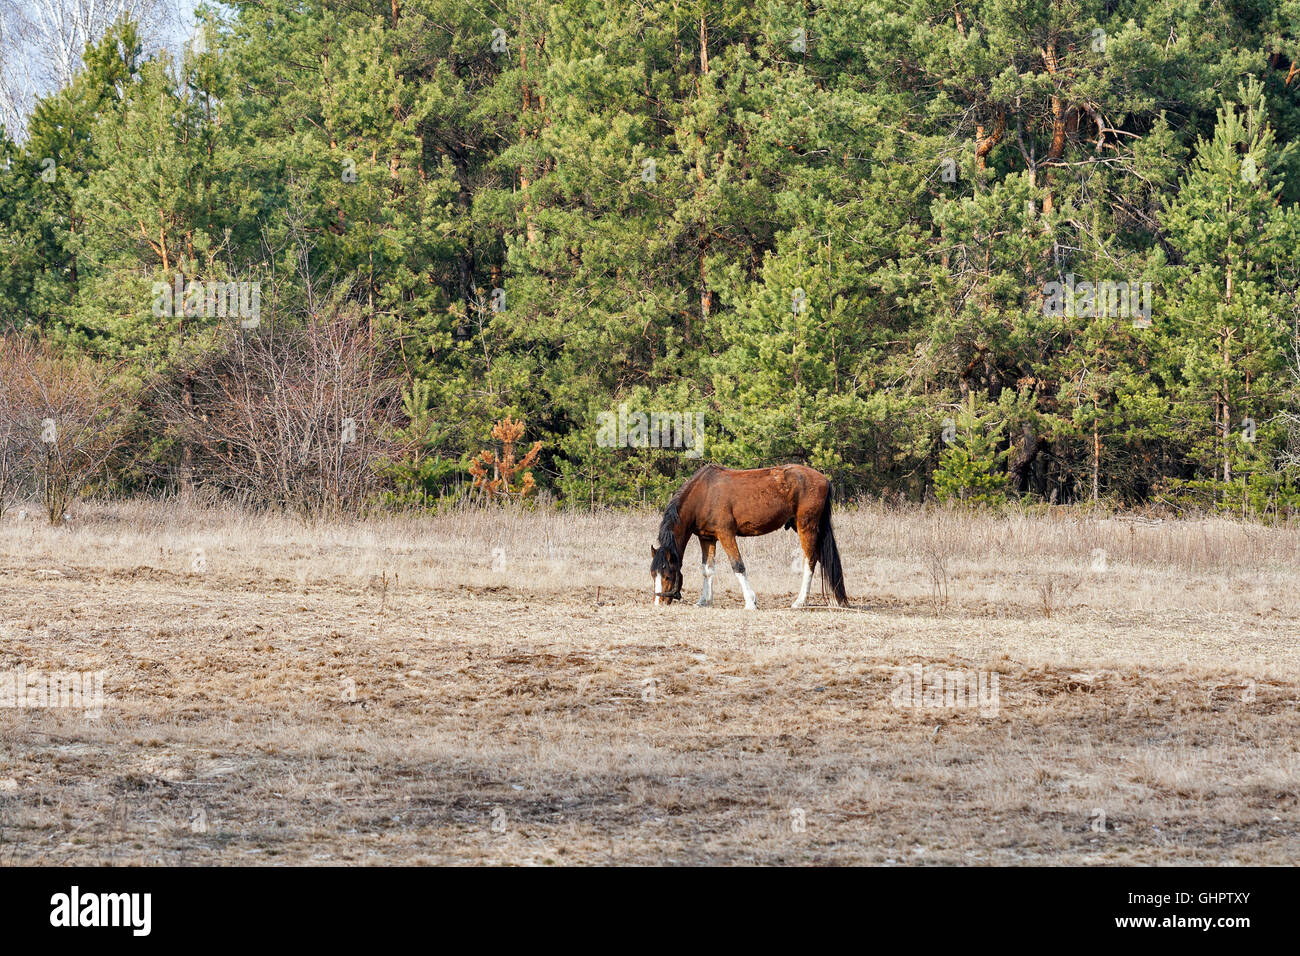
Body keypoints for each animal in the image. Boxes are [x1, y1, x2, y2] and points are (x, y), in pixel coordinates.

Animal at [649, 464, 849, 609]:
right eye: (653, 575)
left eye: (667, 575)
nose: (659, 602)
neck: (704, 495)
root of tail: (824, 480)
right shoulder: (707, 538)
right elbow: (707, 570)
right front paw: (704, 601)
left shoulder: (726, 534)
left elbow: (738, 566)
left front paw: (750, 602)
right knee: (823, 559)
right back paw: (836, 600)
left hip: (806, 527)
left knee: (810, 561)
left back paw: (800, 601)